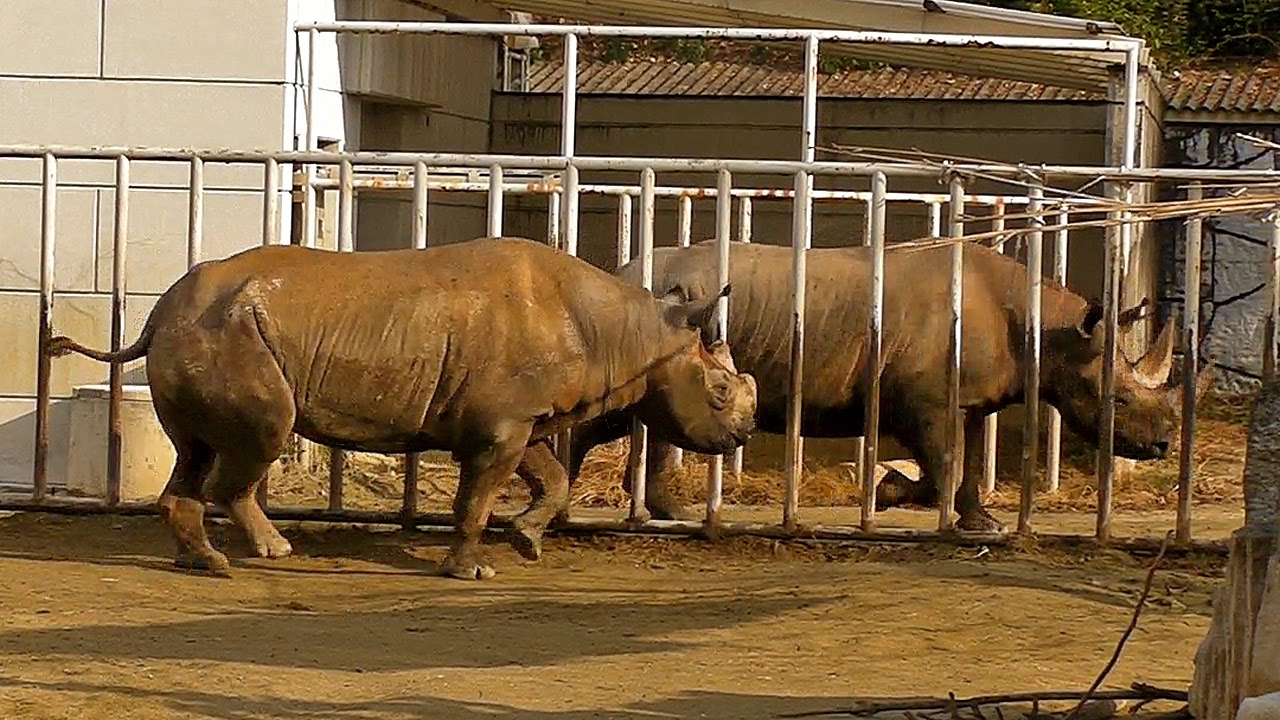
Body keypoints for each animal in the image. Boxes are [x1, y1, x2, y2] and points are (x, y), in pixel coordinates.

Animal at [48, 236, 757, 580]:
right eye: (720, 392)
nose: (744, 433)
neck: (633, 333)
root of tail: (159, 313)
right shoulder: (501, 425)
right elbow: (476, 499)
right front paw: (471, 571)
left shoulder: (519, 420)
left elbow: (551, 477)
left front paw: (526, 542)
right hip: (228, 334)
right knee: (261, 439)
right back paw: (272, 553)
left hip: (200, 330)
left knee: (196, 450)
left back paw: (206, 564)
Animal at [558, 239, 1211, 532]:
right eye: (1117, 399)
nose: (1160, 447)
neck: (1049, 331)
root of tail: (618, 271)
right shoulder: (924, 400)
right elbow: (944, 465)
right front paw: (890, 493)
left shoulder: (968, 400)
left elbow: (965, 463)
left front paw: (980, 523)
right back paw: (566, 501)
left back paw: (671, 512)